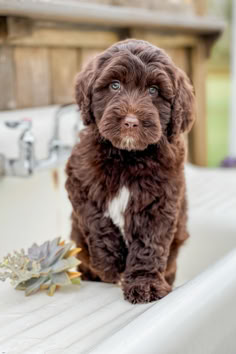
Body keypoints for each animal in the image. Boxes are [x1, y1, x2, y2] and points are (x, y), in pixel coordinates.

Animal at [65, 39, 195, 304]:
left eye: (154, 90)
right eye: (115, 85)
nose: (131, 122)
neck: (127, 156)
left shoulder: (159, 198)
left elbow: (149, 242)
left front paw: (145, 283)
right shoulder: (79, 180)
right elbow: (97, 220)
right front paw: (112, 262)